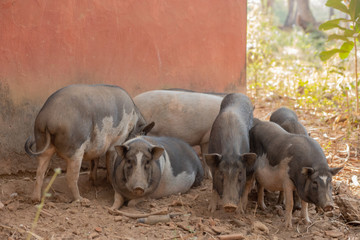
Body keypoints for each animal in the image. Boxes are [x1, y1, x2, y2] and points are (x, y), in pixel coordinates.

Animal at [24, 83, 154, 202]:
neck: (134, 122)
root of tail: (48, 119)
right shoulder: (118, 139)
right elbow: (110, 161)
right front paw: (109, 182)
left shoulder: (96, 146)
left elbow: (94, 161)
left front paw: (93, 182)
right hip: (75, 148)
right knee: (70, 176)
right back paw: (82, 200)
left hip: (41, 140)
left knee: (40, 171)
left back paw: (35, 199)